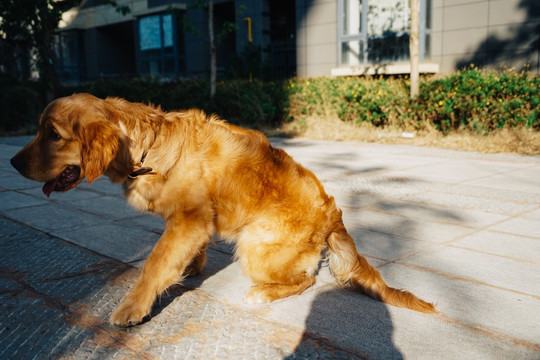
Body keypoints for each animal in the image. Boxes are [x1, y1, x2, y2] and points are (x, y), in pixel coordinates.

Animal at [10, 93, 436, 326]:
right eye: (38, 130)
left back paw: (262, 293)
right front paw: (189, 268)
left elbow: (153, 263)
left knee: (308, 280)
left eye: (52, 134)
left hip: (254, 246)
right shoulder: (194, 222)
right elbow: (183, 252)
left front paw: (133, 307)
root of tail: (334, 215)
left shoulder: (188, 220)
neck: (147, 149)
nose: (12, 162)